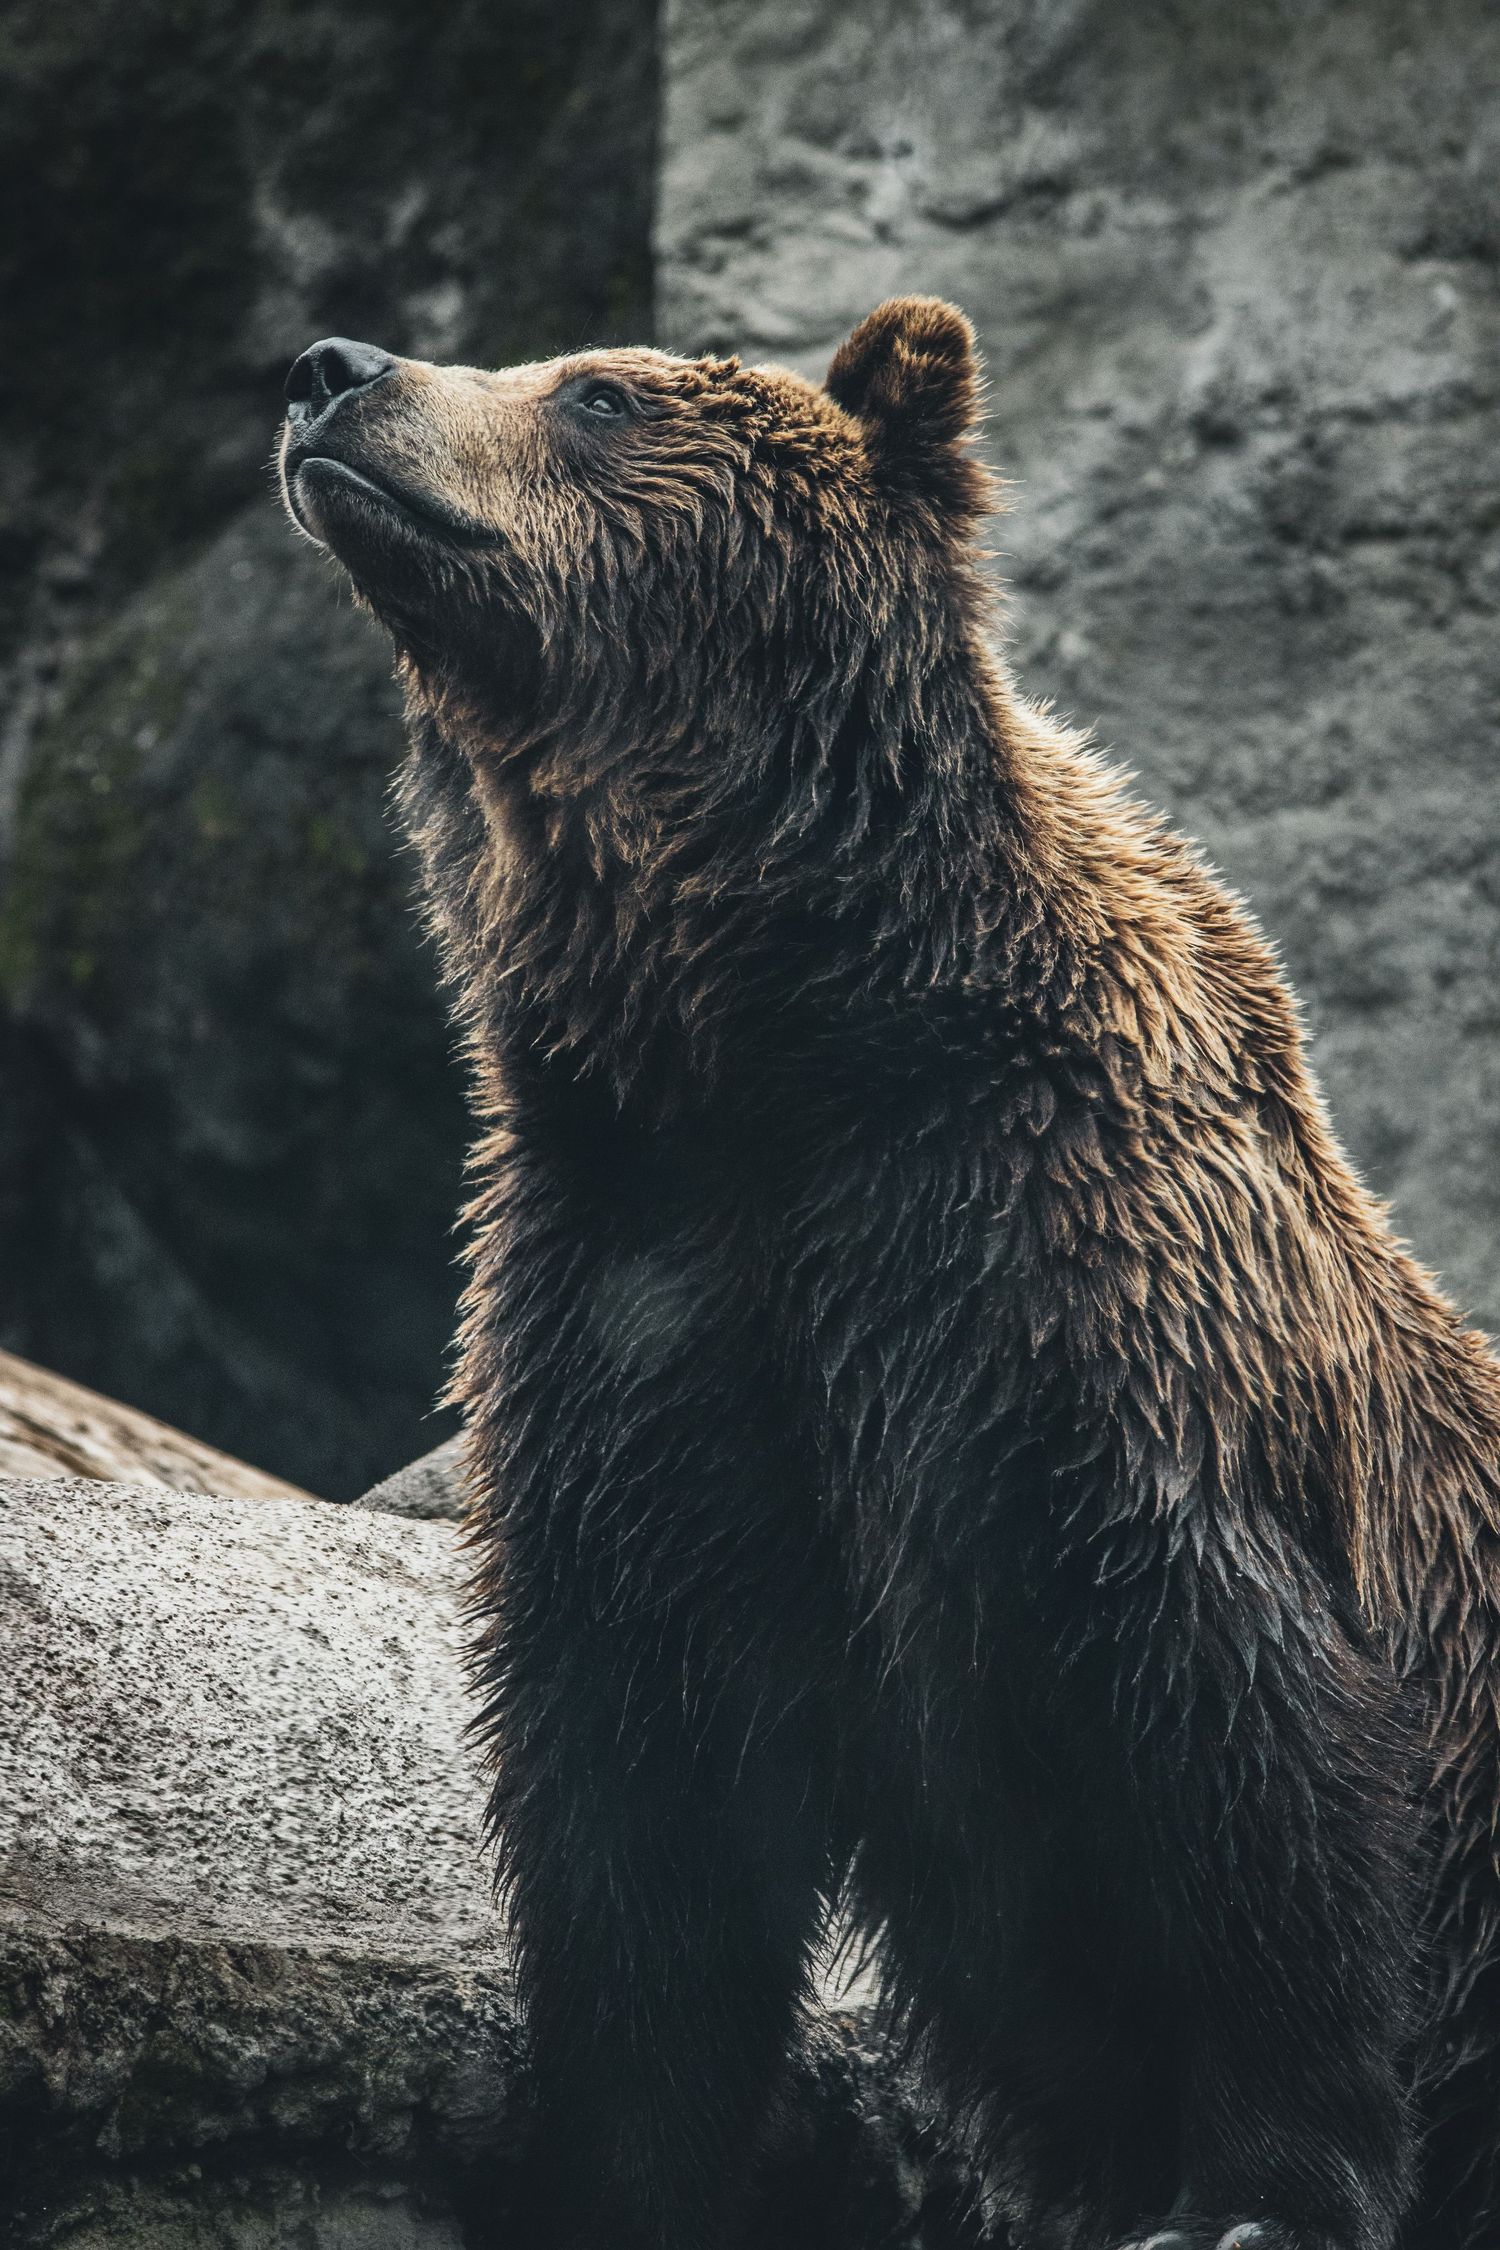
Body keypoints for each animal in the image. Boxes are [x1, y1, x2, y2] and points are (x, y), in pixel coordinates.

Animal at [278, 300, 1500, 2250]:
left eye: (594, 392)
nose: (333, 369)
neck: (778, 1035)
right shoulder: (645, 1299)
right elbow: (636, 1807)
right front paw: (615, 2163)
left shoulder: (1067, 1290)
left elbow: (1236, 1739)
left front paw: (1257, 2186)